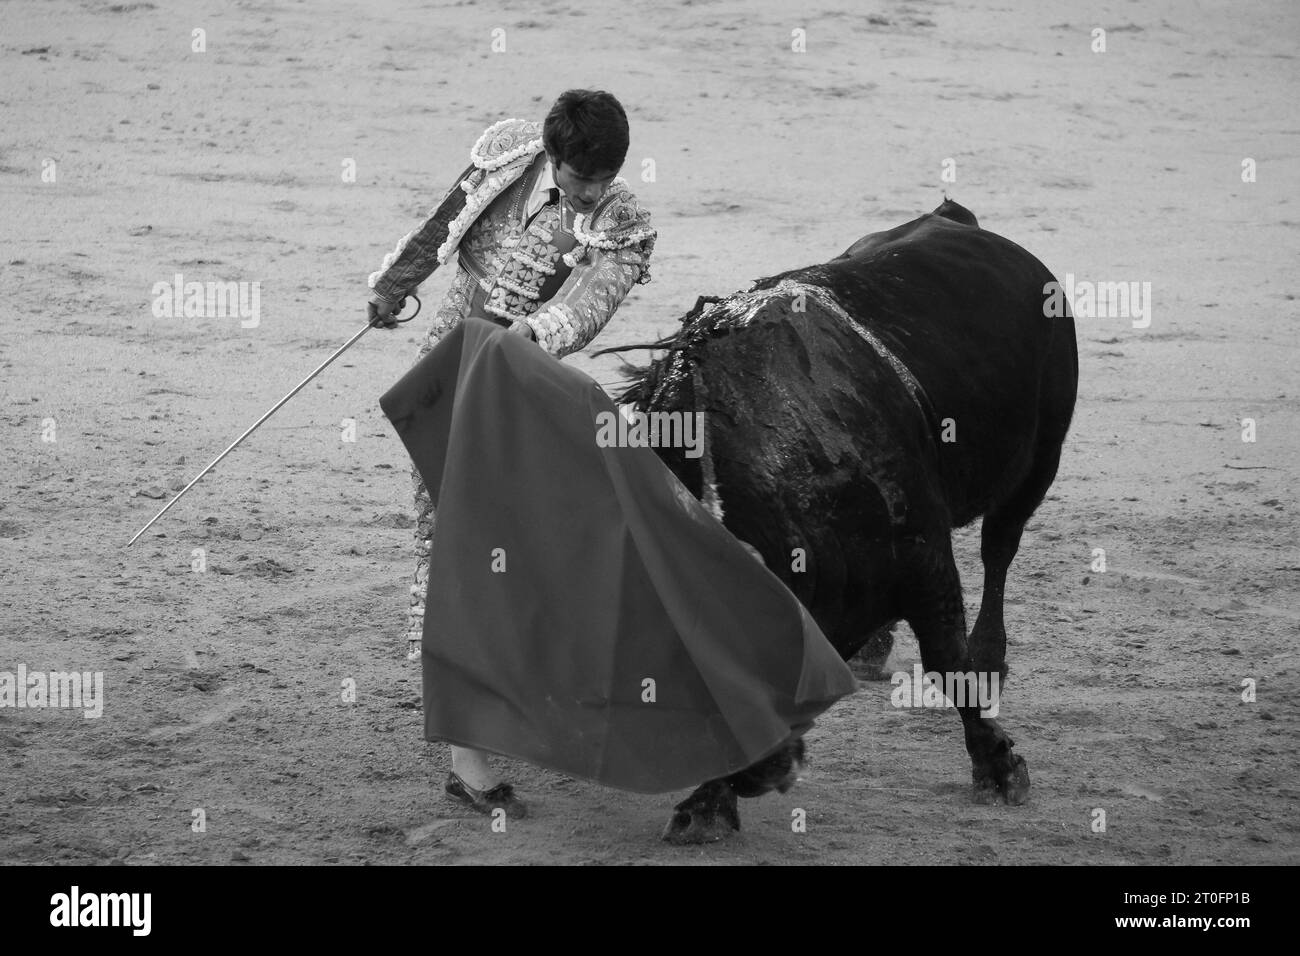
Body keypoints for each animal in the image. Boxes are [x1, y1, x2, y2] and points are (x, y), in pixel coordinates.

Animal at [603, 197, 1081, 842]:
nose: (765, 771)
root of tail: (956, 219)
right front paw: (707, 804)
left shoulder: (926, 556)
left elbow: (948, 663)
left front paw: (1000, 768)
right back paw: (873, 648)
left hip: (1039, 461)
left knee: (999, 550)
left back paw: (990, 658)